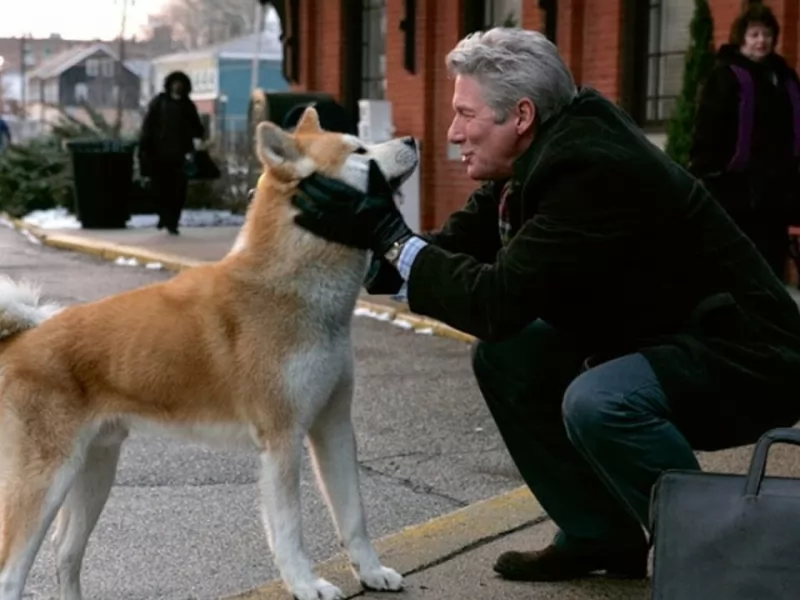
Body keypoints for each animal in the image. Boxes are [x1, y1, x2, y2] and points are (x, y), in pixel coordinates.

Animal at [0, 108, 422, 600]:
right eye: (359, 149)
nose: (412, 140)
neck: (291, 290)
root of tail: (21, 340)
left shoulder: (333, 425)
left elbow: (354, 516)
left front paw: (371, 572)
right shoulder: (282, 438)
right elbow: (289, 530)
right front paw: (305, 583)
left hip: (95, 469)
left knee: (65, 552)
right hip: (46, 480)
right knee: (12, 573)